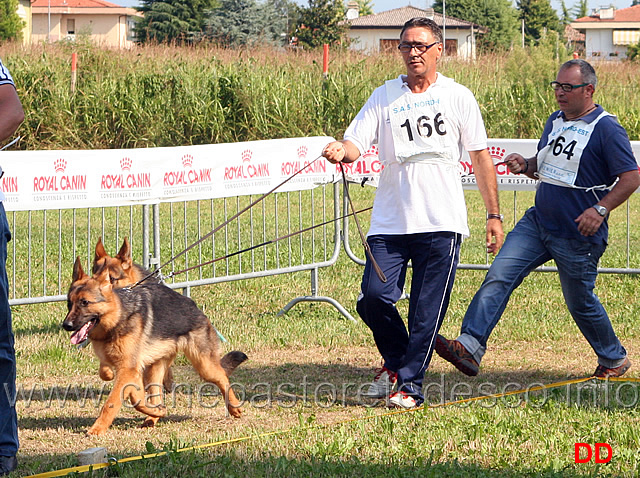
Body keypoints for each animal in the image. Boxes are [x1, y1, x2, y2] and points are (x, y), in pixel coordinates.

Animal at [63, 260, 248, 436]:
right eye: (69, 303)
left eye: (85, 302)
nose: (66, 325)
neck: (117, 318)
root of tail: (193, 305)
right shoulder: (129, 369)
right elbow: (121, 386)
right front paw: (156, 410)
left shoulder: (128, 370)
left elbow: (112, 402)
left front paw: (97, 429)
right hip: (153, 371)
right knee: (156, 396)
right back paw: (154, 416)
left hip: (204, 366)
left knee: (222, 377)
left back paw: (234, 407)